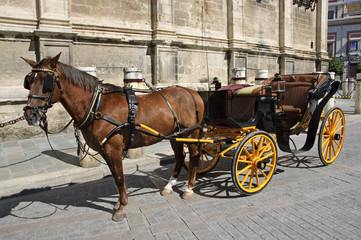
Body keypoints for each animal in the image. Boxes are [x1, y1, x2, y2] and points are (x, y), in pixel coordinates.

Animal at [21, 53, 202, 221]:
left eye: (46, 82)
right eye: (28, 81)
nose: (30, 115)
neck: (97, 105)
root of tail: (193, 92)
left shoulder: (113, 150)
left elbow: (120, 178)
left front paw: (121, 207)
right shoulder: (105, 151)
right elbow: (115, 178)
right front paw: (118, 202)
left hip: (190, 134)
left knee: (193, 156)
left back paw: (189, 188)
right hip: (176, 135)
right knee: (180, 157)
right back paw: (169, 186)